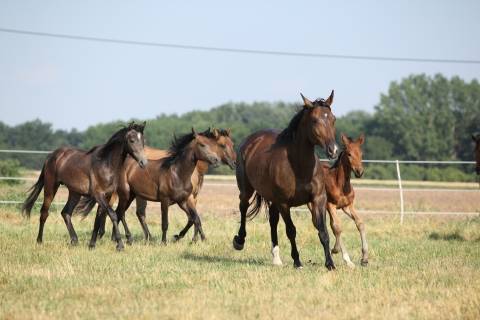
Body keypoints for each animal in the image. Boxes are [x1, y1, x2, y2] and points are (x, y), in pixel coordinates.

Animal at [22, 122, 146, 250]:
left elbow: (98, 219)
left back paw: (74, 240)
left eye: (143, 141)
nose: (143, 162)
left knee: (66, 212)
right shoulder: (98, 195)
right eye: (132, 140)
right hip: (50, 187)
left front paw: (92, 245)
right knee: (44, 212)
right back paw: (39, 241)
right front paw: (120, 245)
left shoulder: (106, 196)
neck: (105, 164)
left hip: (74, 193)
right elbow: (113, 214)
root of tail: (52, 156)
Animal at [84, 127, 234, 248]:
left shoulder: (183, 200)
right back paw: (123, 238)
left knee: (119, 213)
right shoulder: (165, 200)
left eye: (212, 144)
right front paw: (164, 242)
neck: (177, 173)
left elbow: (195, 218)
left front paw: (195, 239)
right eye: (203, 145)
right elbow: (165, 223)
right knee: (115, 212)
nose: (216, 160)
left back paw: (122, 239)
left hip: (131, 195)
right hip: (123, 194)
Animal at [233, 90, 340, 270]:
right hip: (247, 190)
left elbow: (323, 232)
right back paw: (239, 241)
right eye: (315, 120)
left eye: (333, 119)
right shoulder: (284, 203)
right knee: (243, 208)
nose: (333, 150)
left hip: (273, 199)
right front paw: (297, 261)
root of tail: (250, 141)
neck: (299, 167)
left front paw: (330, 264)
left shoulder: (318, 199)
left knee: (273, 221)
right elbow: (291, 231)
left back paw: (276, 258)